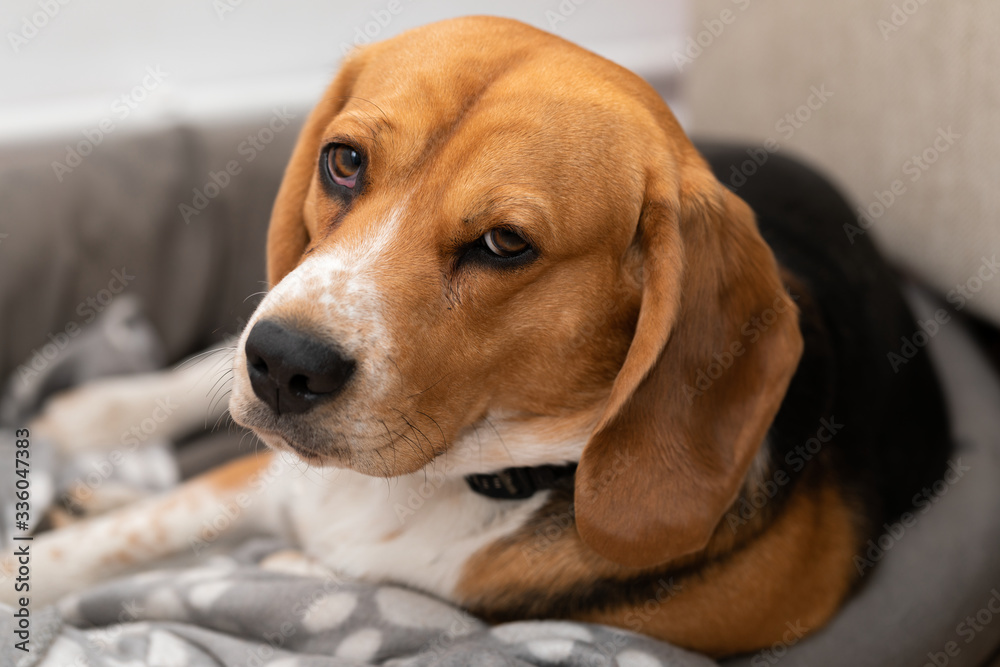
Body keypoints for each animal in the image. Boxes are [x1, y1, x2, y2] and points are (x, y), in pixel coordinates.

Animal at [1, 15, 952, 656]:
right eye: (344, 161)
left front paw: (295, 573)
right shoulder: (260, 475)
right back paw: (96, 414)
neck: (452, 480)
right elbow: (95, 545)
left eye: (505, 244)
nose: (282, 365)